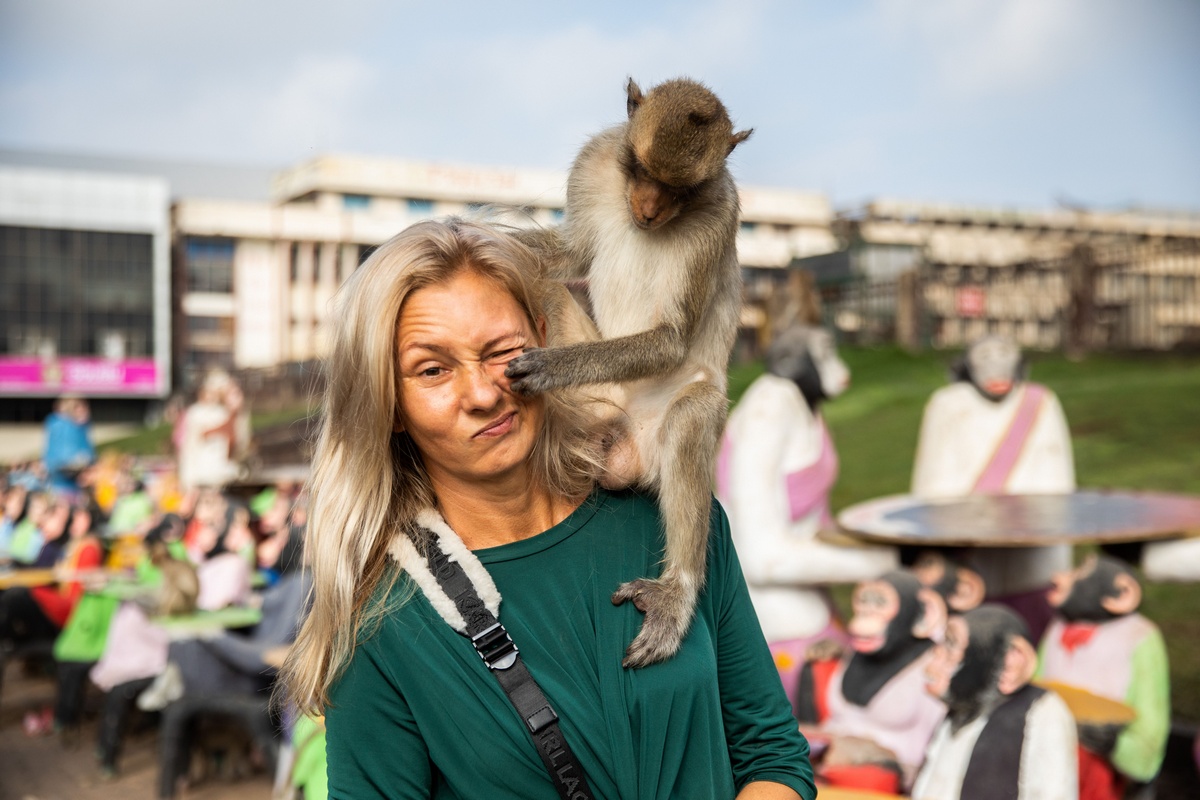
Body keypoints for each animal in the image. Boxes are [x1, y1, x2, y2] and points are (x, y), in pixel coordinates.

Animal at [504, 76, 748, 671]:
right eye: (639, 170)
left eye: (680, 190)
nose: (650, 208)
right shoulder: (594, 163)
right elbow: (566, 257)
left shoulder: (720, 213)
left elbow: (670, 338)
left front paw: (551, 367)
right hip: (592, 406)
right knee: (546, 286)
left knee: (694, 413)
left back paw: (676, 592)